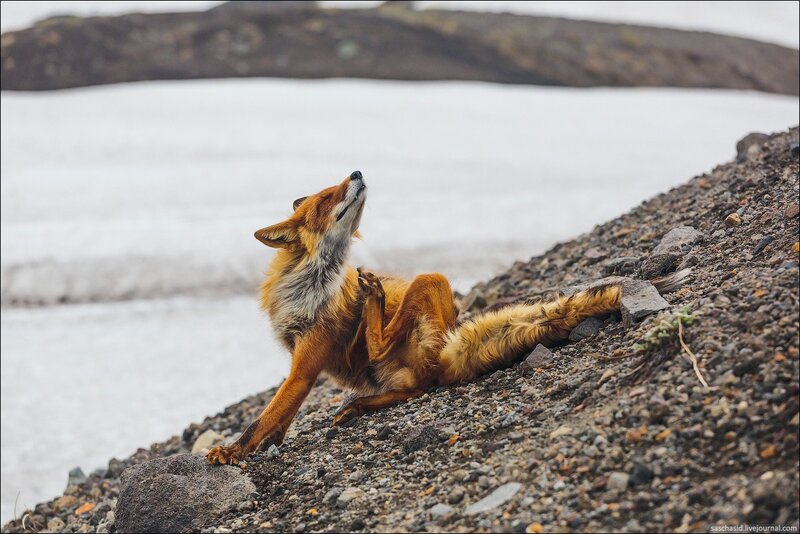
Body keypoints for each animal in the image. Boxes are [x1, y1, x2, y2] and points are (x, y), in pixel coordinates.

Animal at [206, 170, 674, 465]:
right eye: (327, 197)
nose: (356, 171)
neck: (311, 284)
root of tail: (452, 347)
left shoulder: (308, 360)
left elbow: (263, 416)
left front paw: (232, 452)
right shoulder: (296, 353)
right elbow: (279, 416)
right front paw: (268, 442)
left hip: (430, 282)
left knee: (408, 367)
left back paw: (373, 302)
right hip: (394, 365)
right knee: (413, 387)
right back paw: (358, 405)